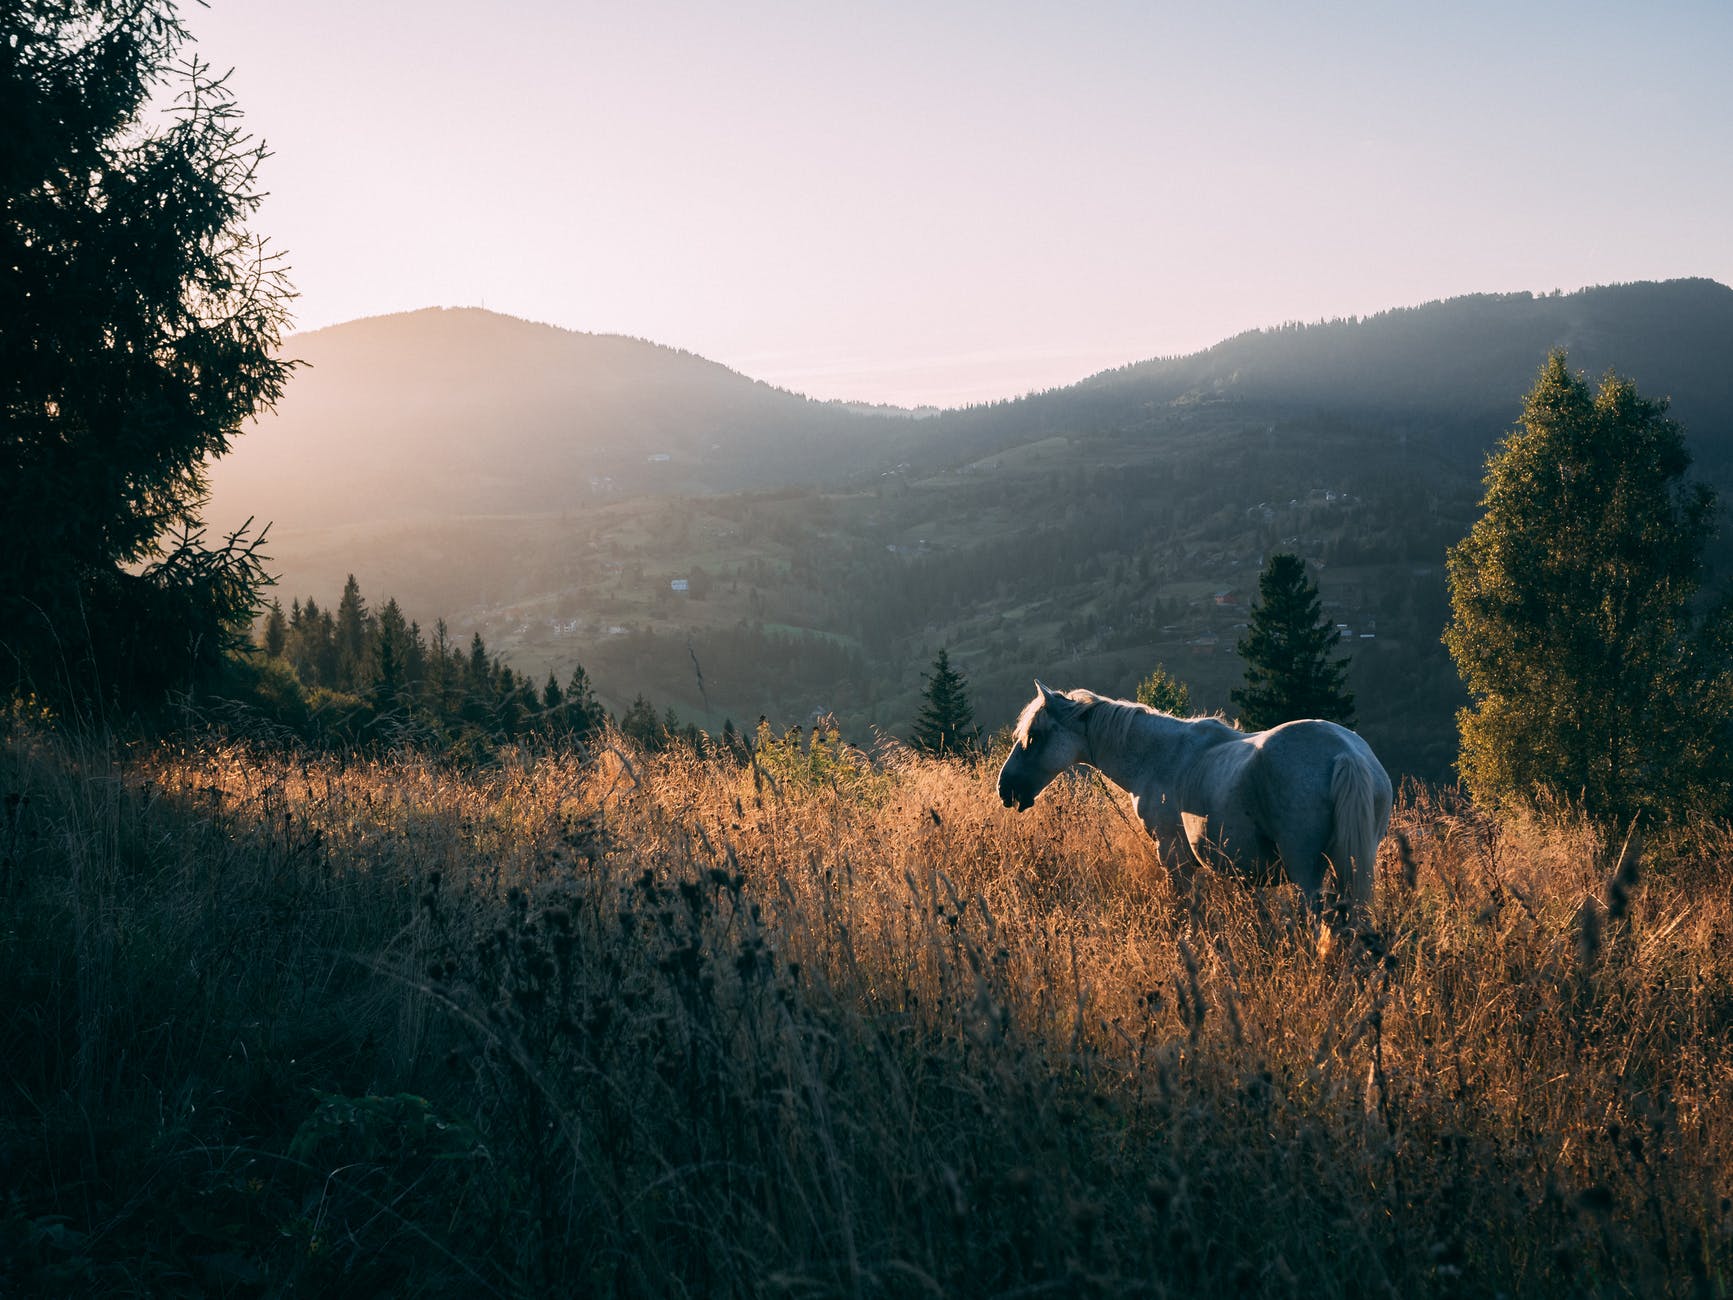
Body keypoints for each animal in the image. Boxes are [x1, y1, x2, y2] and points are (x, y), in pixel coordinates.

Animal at [997, 681, 1392, 915]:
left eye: (1034, 736)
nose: (1005, 789)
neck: (1160, 755)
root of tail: (1346, 753)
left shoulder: (1174, 858)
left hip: (1307, 870)